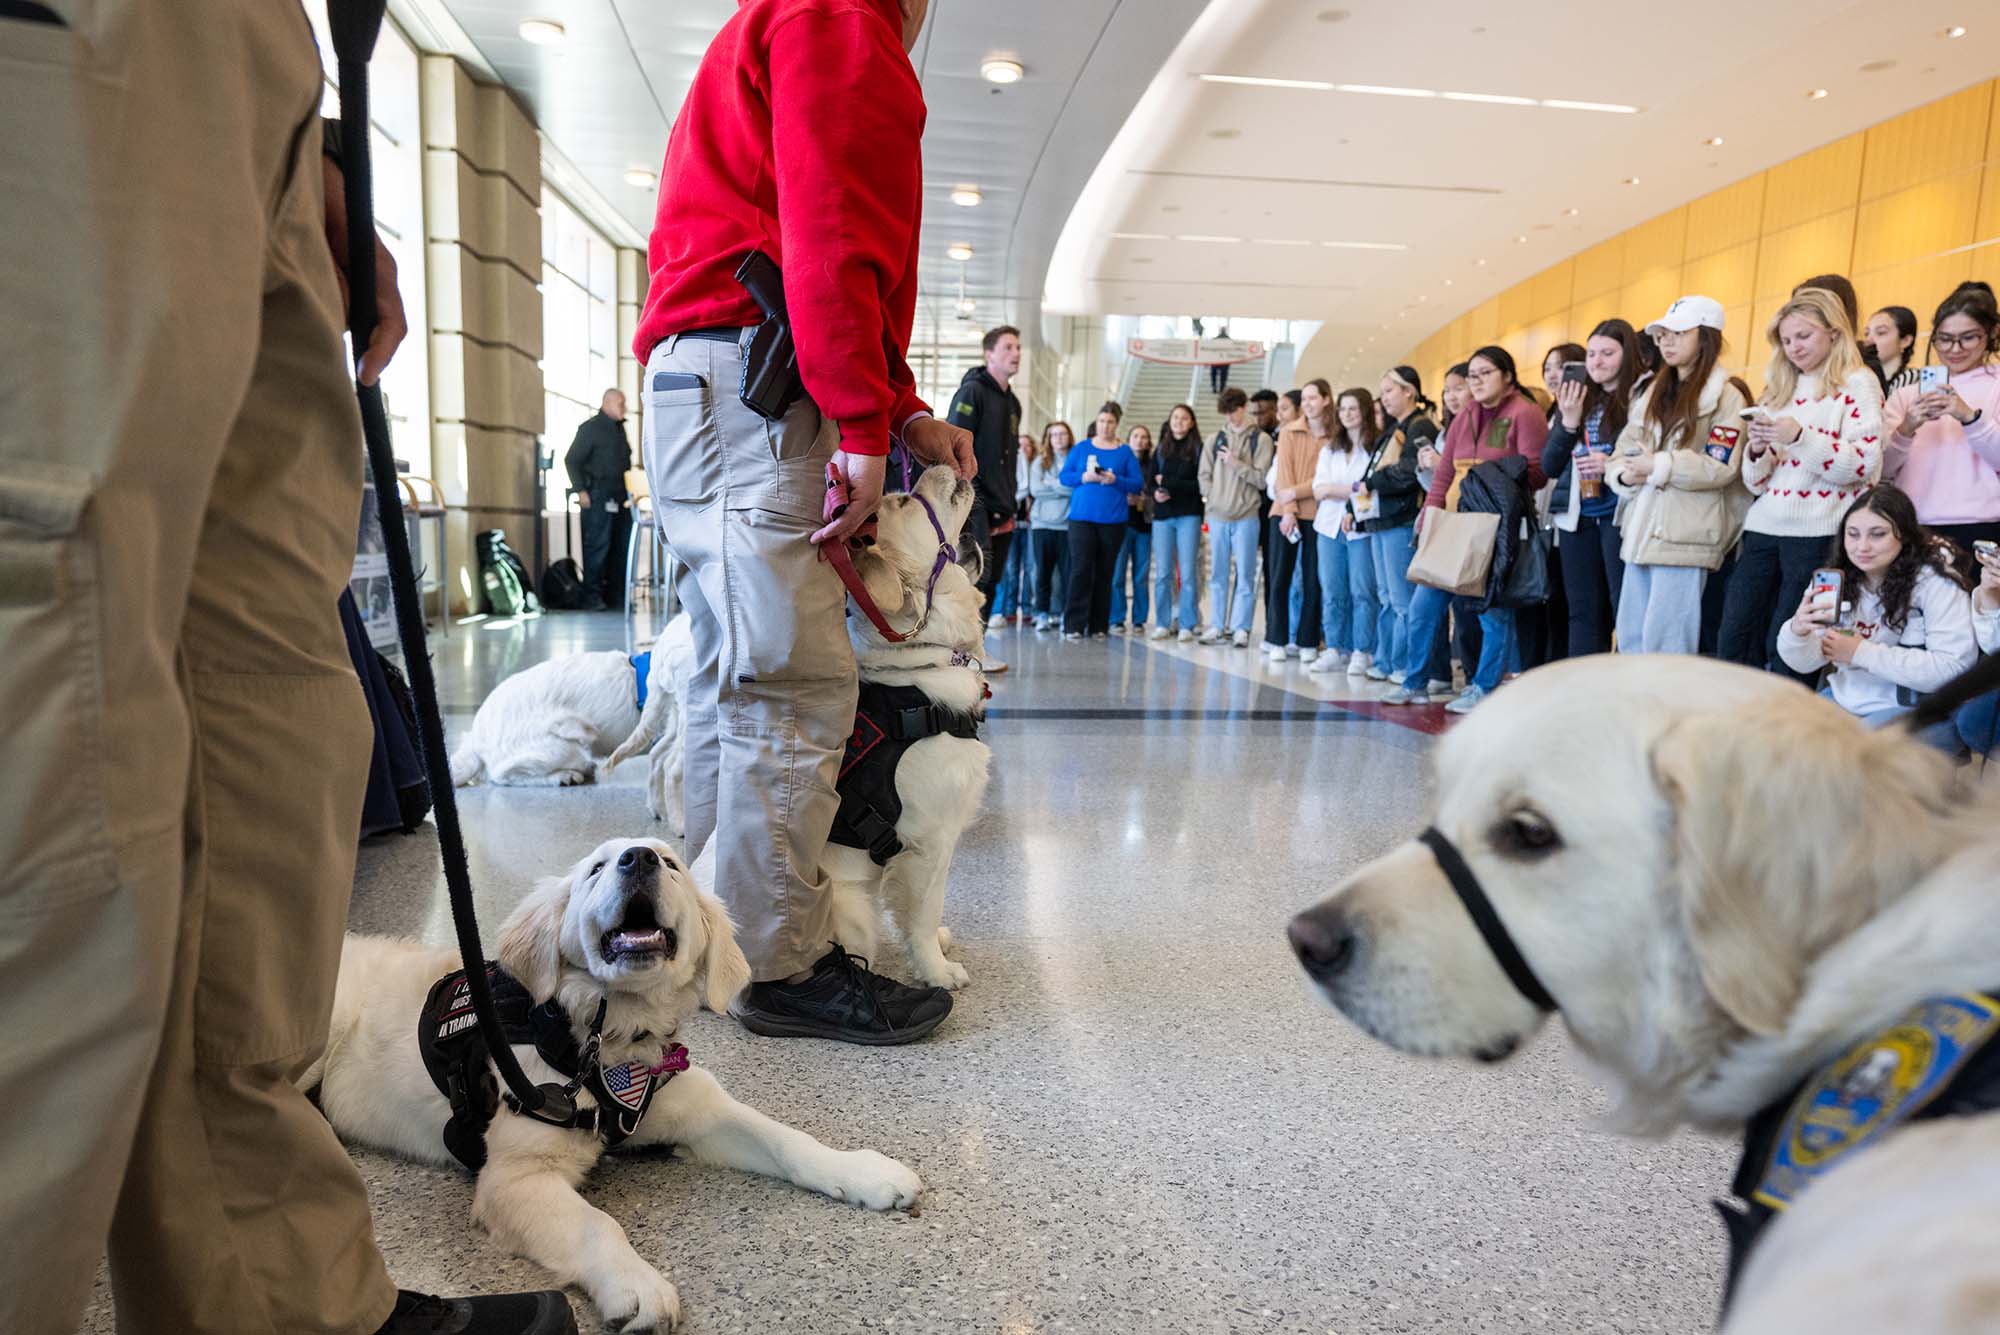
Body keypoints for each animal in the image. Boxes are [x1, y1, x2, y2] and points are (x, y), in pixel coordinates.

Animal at [308, 839, 924, 1327]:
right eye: (596, 868)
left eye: (671, 863)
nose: (639, 858)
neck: (608, 1045)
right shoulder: (514, 1177)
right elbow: (596, 1225)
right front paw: (637, 1286)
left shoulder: (697, 1108)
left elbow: (787, 1139)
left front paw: (863, 1172)